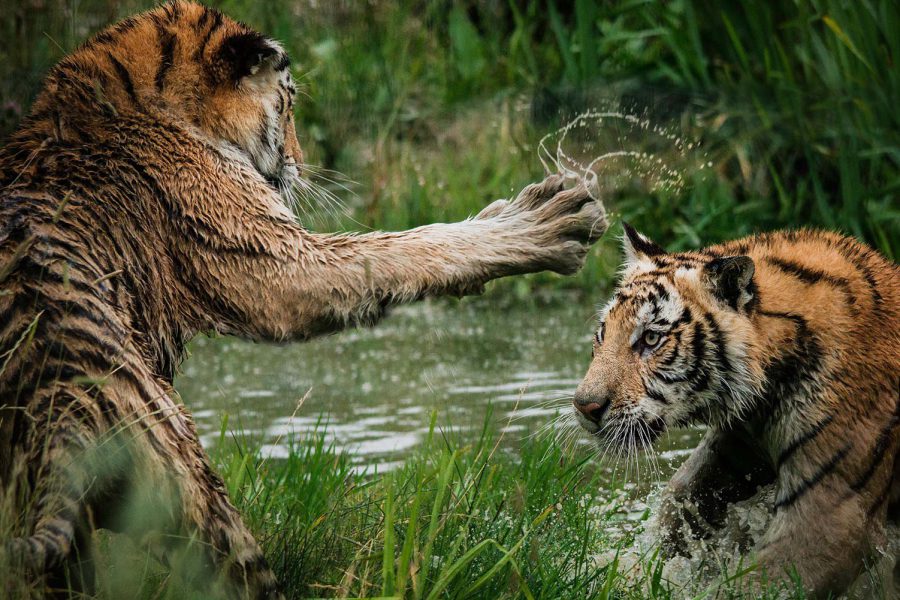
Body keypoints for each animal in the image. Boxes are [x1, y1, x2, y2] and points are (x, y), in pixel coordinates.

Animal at [0, 0, 604, 596]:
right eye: (288, 107)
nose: (300, 162)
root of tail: (59, 404)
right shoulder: (276, 263)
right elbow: (404, 247)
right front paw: (546, 222)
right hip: (184, 477)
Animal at [572, 224, 896, 596]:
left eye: (651, 339)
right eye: (602, 334)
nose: (584, 405)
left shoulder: (831, 518)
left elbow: (748, 586)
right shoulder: (738, 444)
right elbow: (679, 500)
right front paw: (623, 573)